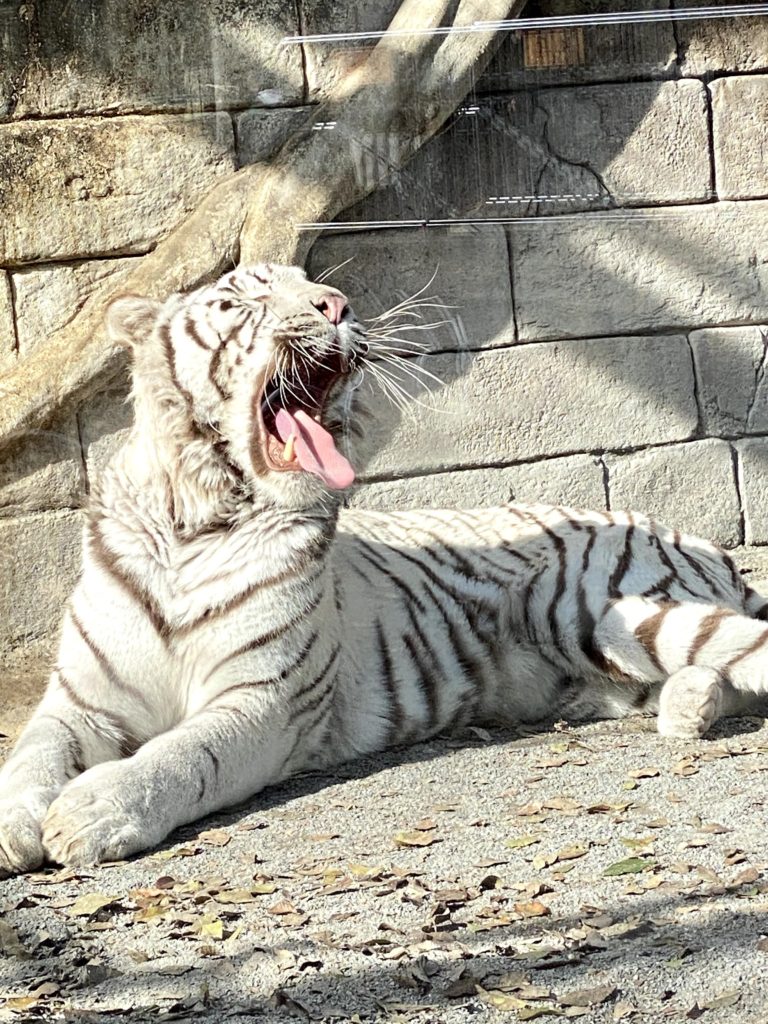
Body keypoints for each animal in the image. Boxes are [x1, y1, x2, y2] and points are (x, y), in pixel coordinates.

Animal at [1, 264, 768, 872]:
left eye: (310, 282)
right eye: (237, 301)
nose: (336, 304)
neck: (197, 520)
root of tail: (701, 541)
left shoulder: (263, 701)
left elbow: (182, 756)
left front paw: (92, 811)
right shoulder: (79, 702)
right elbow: (29, 754)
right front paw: (19, 824)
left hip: (594, 611)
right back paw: (688, 708)